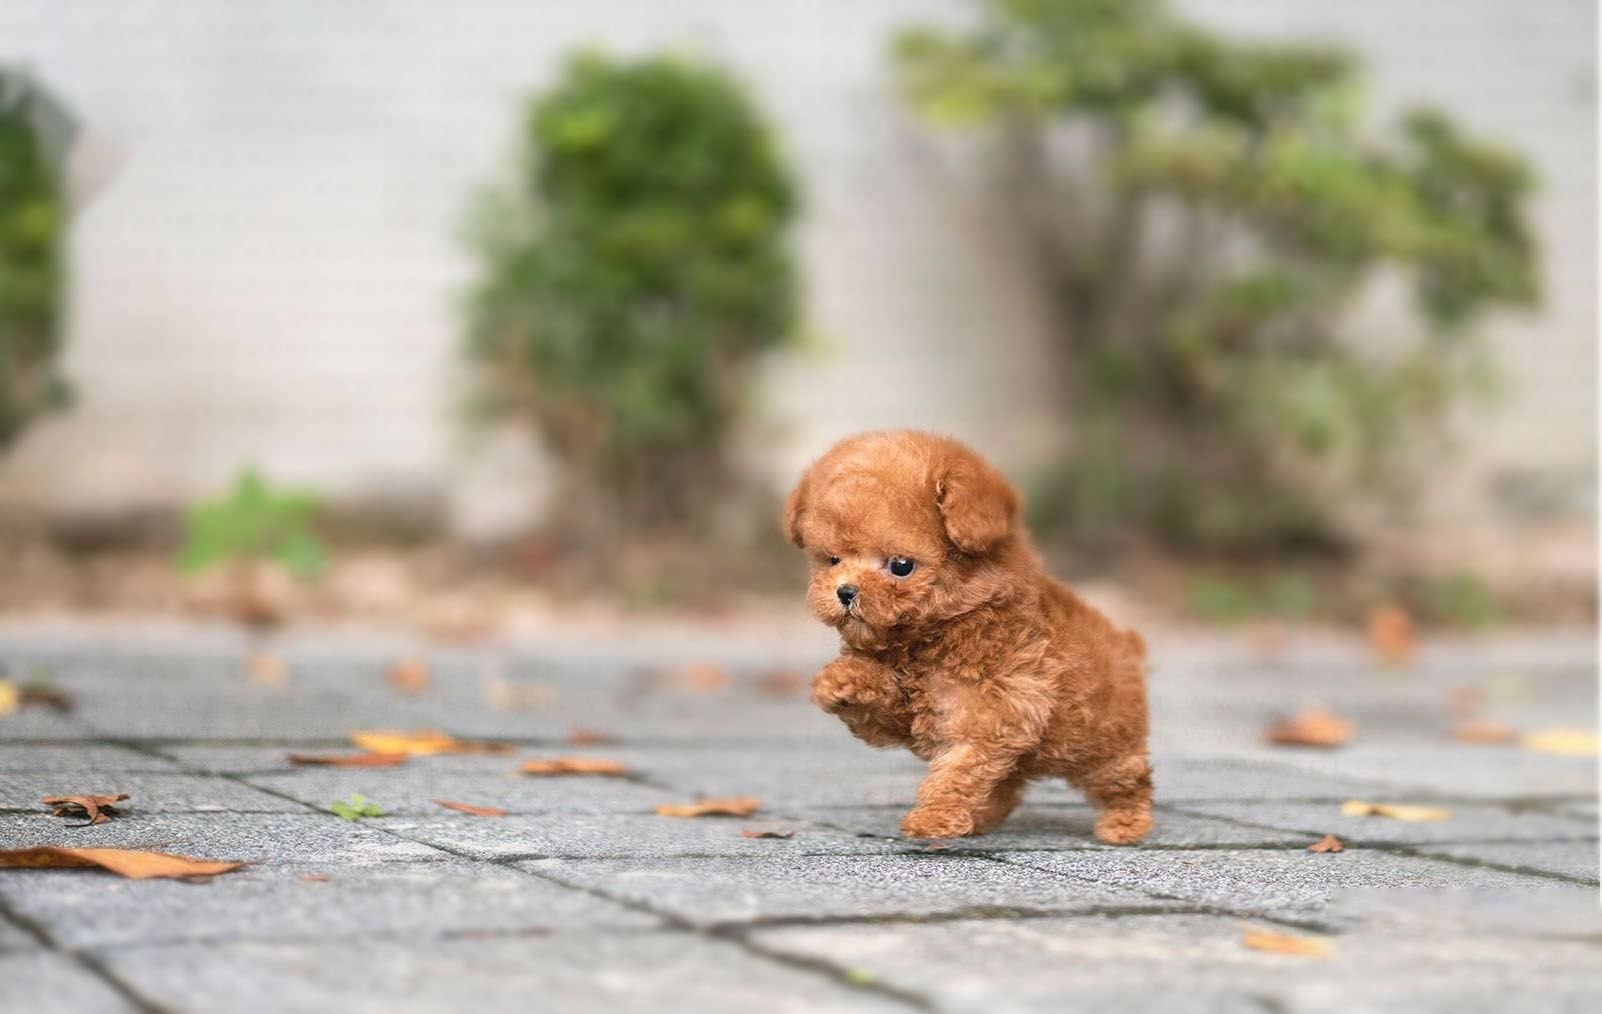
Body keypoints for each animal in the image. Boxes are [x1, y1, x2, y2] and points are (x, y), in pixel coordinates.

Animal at [784, 426, 1153, 839]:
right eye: (832, 560)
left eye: (901, 566)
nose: (846, 592)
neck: (937, 633)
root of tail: (1128, 644)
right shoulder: (908, 717)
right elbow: (882, 699)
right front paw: (839, 682)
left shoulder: (994, 715)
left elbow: (958, 770)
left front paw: (933, 817)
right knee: (1007, 783)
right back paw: (983, 817)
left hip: (1102, 743)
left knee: (1127, 779)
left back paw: (1125, 823)